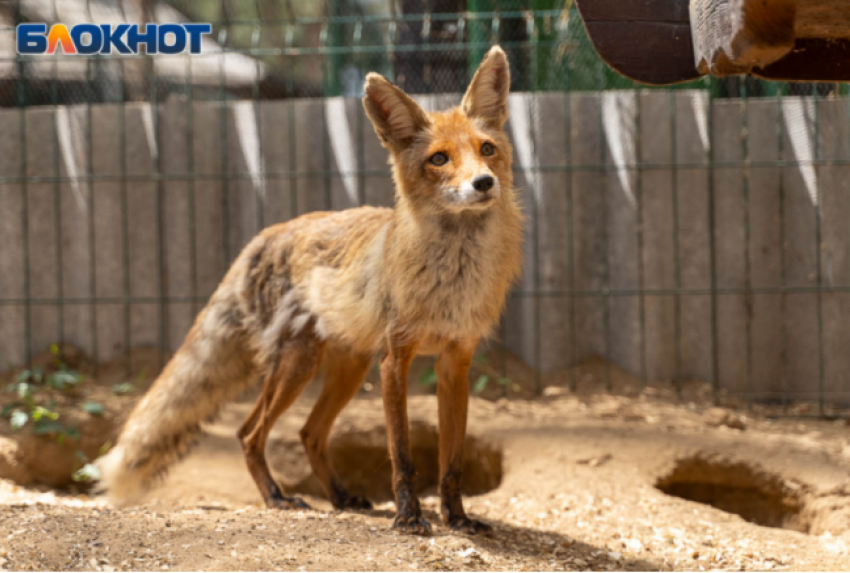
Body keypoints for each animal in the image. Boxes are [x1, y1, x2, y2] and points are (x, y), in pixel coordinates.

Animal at [99, 47, 524, 536]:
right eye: (439, 159)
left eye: (487, 149)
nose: (484, 183)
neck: (453, 277)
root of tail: (265, 235)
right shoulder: (395, 359)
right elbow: (402, 455)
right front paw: (409, 517)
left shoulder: (456, 362)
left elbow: (451, 460)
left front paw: (457, 518)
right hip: (297, 365)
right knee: (250, 433)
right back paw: (277, 498)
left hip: (348, 367)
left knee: (310, 433)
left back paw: (340, 497)